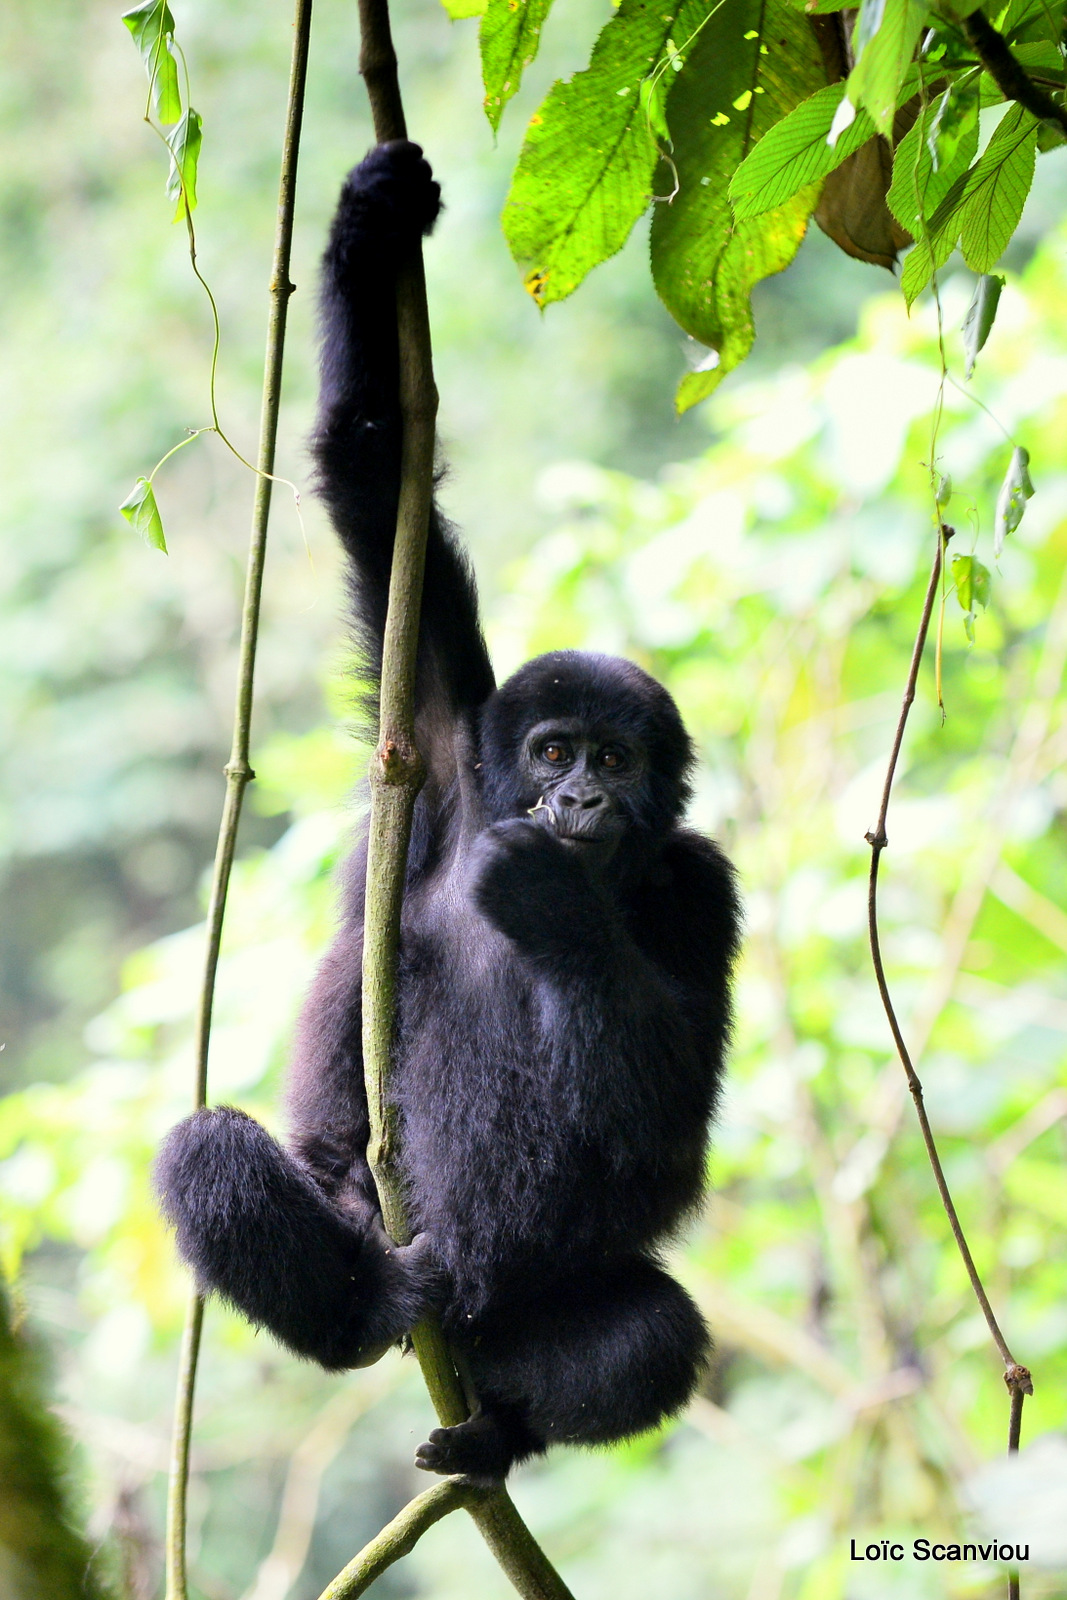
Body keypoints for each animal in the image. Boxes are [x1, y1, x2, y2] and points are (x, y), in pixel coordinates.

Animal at [156, 144, 742, 1478]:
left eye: (616, 758)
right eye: (551, 748)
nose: (578, 795)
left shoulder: (702, 887)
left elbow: (665, 1117)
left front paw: (555, 905)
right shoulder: (431, 735)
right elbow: (371, 475)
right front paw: (368, 229)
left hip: (515, 1319)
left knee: (651, 1336)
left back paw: (500, 1434)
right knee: (209, 1157)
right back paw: (367, 1302)